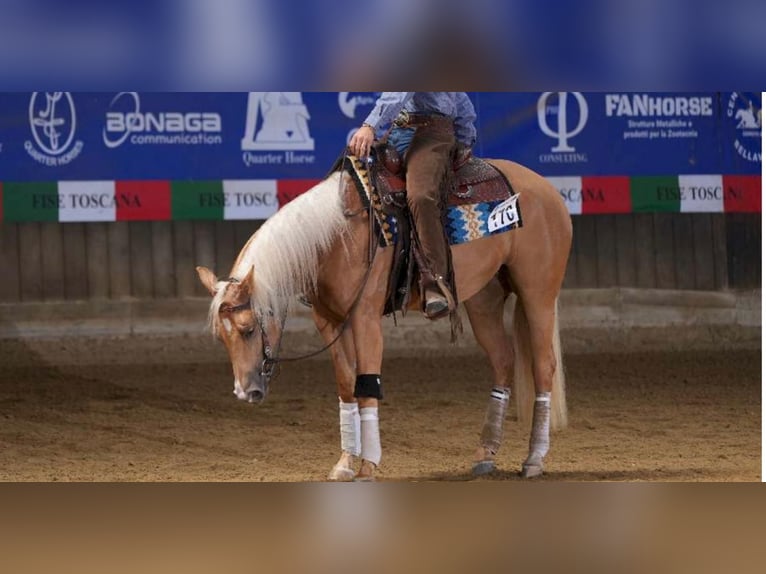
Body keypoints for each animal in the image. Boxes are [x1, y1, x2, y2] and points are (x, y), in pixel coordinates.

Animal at [195, 156, 572, 482]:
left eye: (247, 329)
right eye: (223, 337)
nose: (245, 392)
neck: (336, 236)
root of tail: (547, 190)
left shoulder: (365, 319)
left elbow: (367, 385)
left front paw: (368, 466)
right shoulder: (328, 321)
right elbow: (346, 384)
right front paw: (344, 463)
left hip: (538, 293)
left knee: (543, 366)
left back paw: (534, 459)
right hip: (484, 299)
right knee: (504, 361)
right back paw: (485, 454)